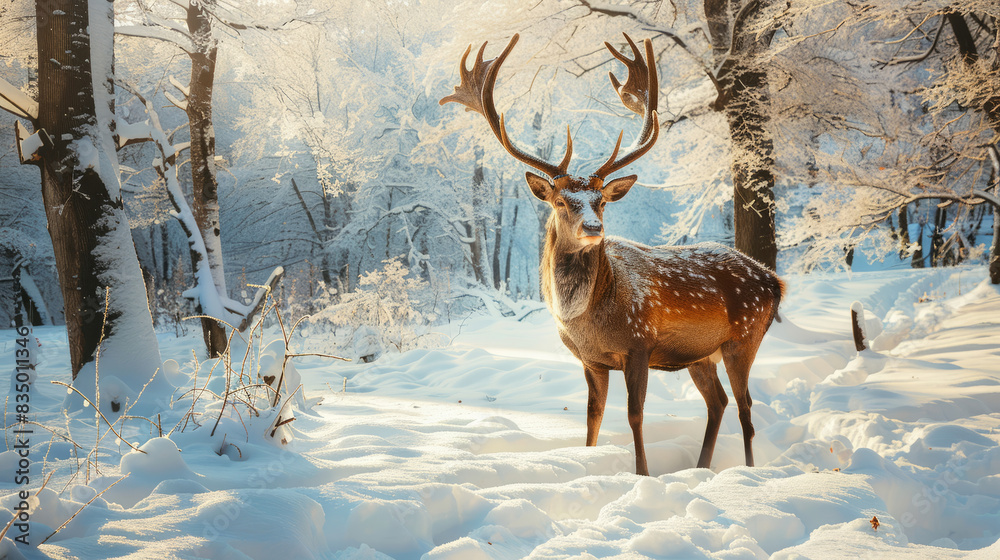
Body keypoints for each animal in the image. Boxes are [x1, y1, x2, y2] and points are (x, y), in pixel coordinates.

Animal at [440, 33, 784, 476]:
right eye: (561, 201)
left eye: (600, 201)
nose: (594, 228)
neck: (587, 318)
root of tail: (774, 280)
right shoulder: (590, 360)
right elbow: (593, 415)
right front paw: (585, 459)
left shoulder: (639, 344)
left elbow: (635, 415)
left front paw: (642, 473)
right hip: (700, 354)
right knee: (719, 402)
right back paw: (701, 467)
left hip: (744, 337)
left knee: (745, 407)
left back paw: (748, 471)